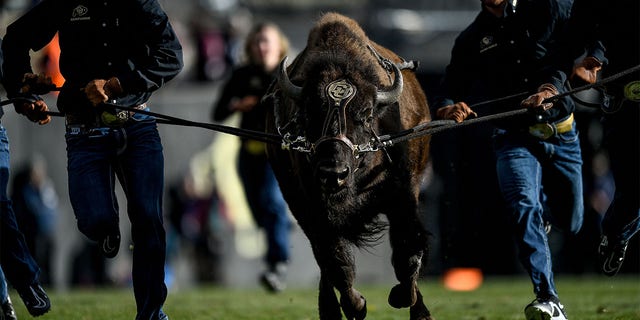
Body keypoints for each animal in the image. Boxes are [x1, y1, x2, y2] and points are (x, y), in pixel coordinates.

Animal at [262, 12, 432, 320]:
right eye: (309, 113)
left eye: (365, 114)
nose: (333, 174)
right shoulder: (310, 207)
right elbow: (334, 260)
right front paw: (357, 305)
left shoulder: (403, 195)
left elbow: (408, 250)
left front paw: (404, 298)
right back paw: (331, 308)